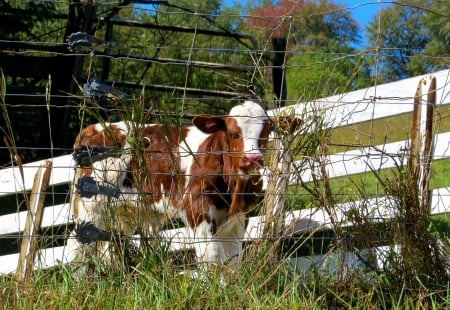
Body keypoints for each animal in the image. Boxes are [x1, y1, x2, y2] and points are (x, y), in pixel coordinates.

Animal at [67, 101, 288, 268]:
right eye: (234, 133)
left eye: (266, 132)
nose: (253, 159)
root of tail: (95, 128)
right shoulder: (197, 211)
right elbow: (212, 257)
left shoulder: (238, 220)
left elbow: (232, 261)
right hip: (92, 203)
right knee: (78, 244)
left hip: (122, 210)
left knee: (110, 246)